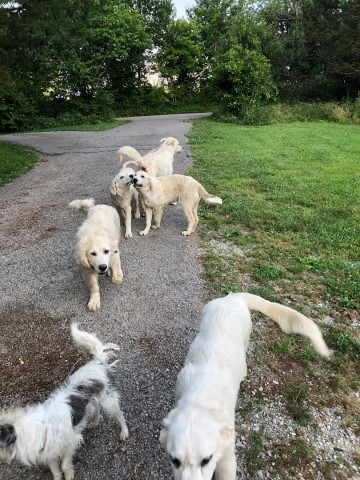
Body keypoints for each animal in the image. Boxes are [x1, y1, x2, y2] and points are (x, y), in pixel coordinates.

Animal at [0, 322, 129, 480]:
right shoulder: (48, 453)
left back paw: (124, 431)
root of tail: (97, 363)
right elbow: (55, 470)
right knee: (95, 407)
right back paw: (94, 422)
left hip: (109, 400)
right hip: (91, 400)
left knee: (119, 415)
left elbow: (64, 465)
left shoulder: (71, 443)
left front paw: (69, 475)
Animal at [160, 292, 332, 480]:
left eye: (206, 460)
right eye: (174, 460)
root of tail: (232, 297)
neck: (201, 395)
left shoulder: (227, 457)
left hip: (246, 334)